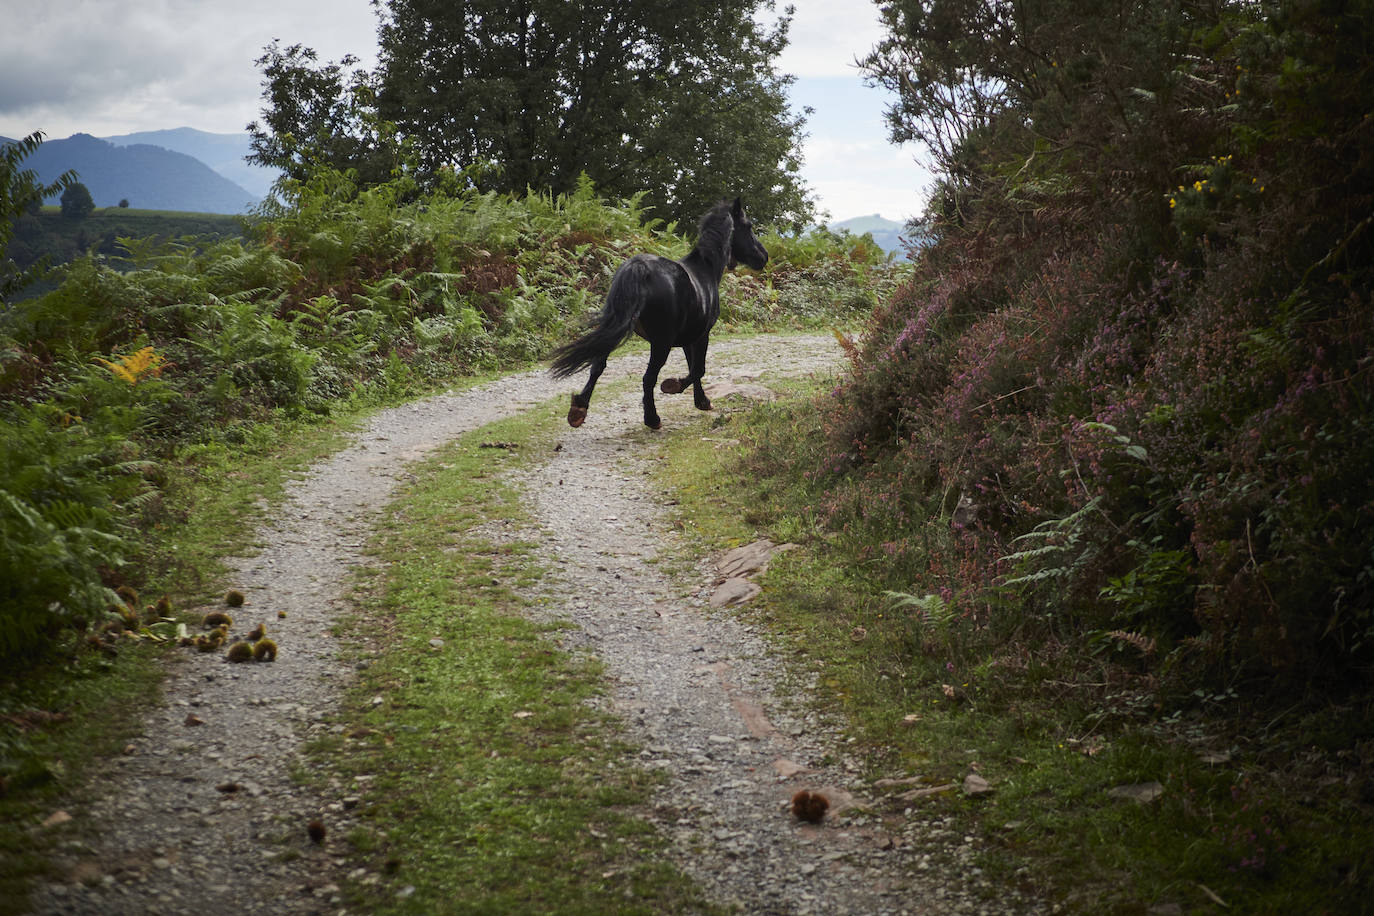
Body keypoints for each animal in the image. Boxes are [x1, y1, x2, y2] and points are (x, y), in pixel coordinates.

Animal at [546, 197, 769, 431]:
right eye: (749, 226)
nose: (764, 257)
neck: (705, 269)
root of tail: (638, 268)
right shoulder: (702, 336)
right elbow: (698, 369)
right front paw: (674, 386)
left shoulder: (688, 339)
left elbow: (693, 368)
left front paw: (701, 401)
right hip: (661, 343)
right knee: (648, 377)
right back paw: (652, 419)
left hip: (615, 327)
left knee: (597, 365)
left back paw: (579, 408)